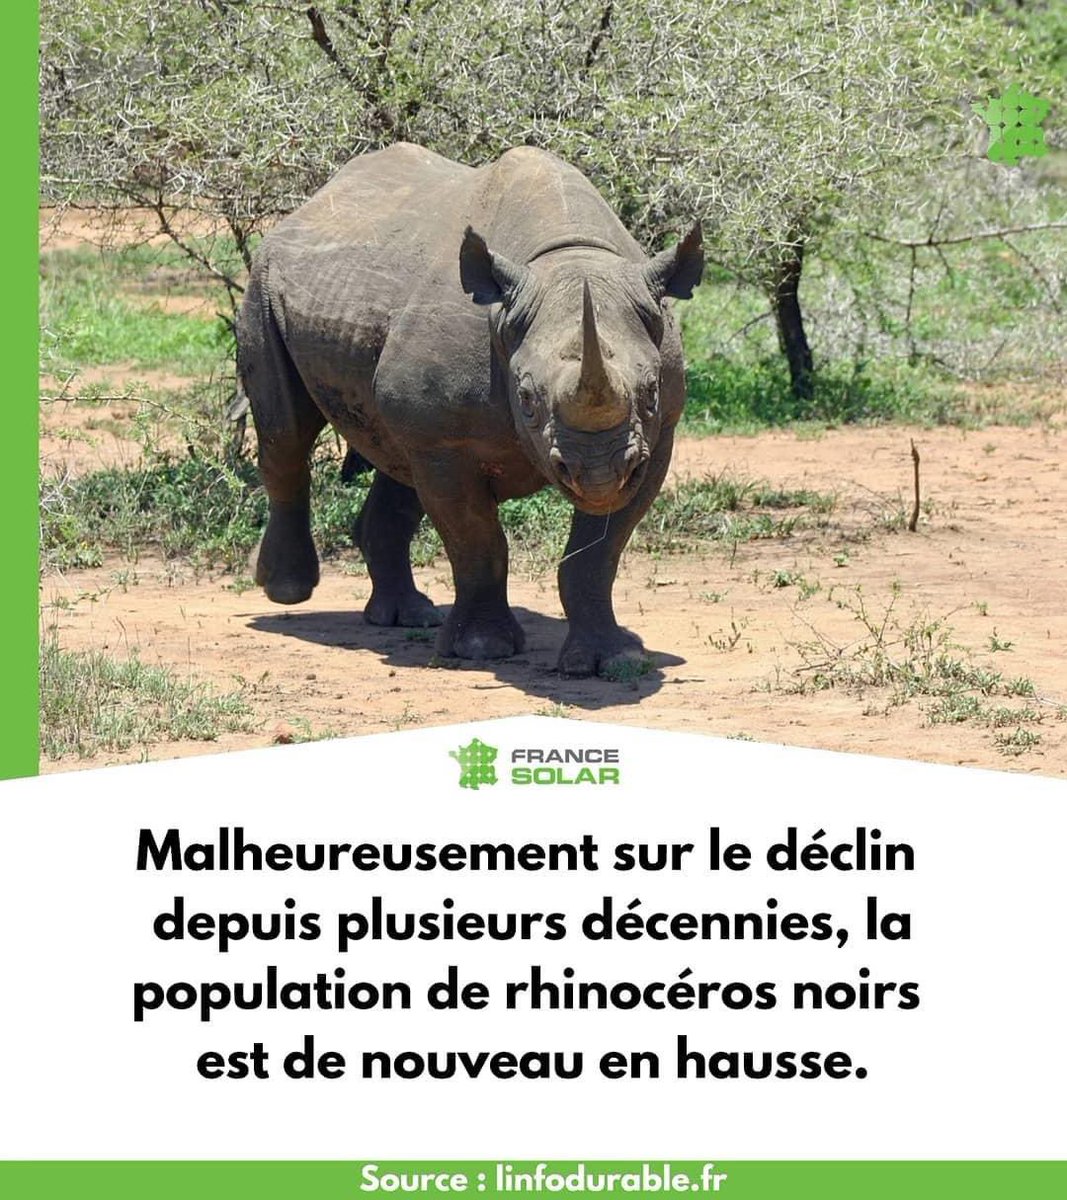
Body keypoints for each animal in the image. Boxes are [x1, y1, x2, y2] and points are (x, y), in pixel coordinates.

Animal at [238, 143, 703, 677]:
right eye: (526, 399)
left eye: (650, 392)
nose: (599, 473)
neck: (568, 259)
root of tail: (309, 206)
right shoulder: (445, 441)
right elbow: (476, 540)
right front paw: (483, 650)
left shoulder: (656, 437)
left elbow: (596, 555)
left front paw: (614, 658)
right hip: (264, 282)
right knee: (286, 434)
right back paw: (287, 591)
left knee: (395, 460)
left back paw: (406, 616)